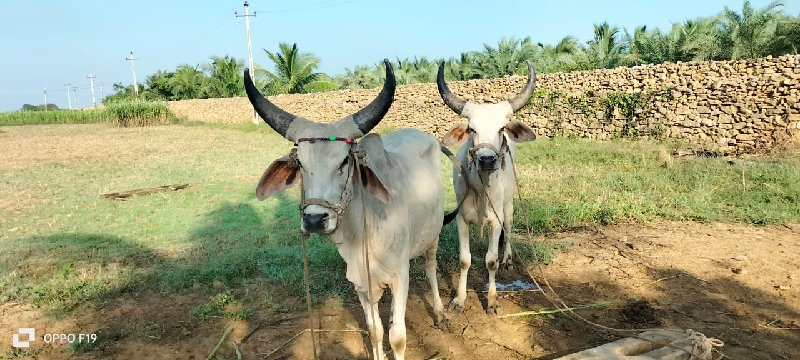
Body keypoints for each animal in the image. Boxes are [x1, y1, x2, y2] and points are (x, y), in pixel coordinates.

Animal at [244, 59, 450, 360]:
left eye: (343, 161)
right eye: (300, 163)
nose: (314, 219)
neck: (365, 232)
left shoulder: (400, 276)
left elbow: (398, 337)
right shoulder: (361, 283)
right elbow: (375, 331)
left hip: (432, 236)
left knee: (431, 268)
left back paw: (440, 312)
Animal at [438, 61, 536, 316]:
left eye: (501, 128)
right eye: (471, 129)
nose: (487, 160)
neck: (481, 188)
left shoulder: (495, 220)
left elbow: (491, 260)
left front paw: (492, 301)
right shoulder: (461, 219)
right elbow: (465, 259)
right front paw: (459, 300)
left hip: (509, 207)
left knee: (508, 232)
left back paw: (508, 259)